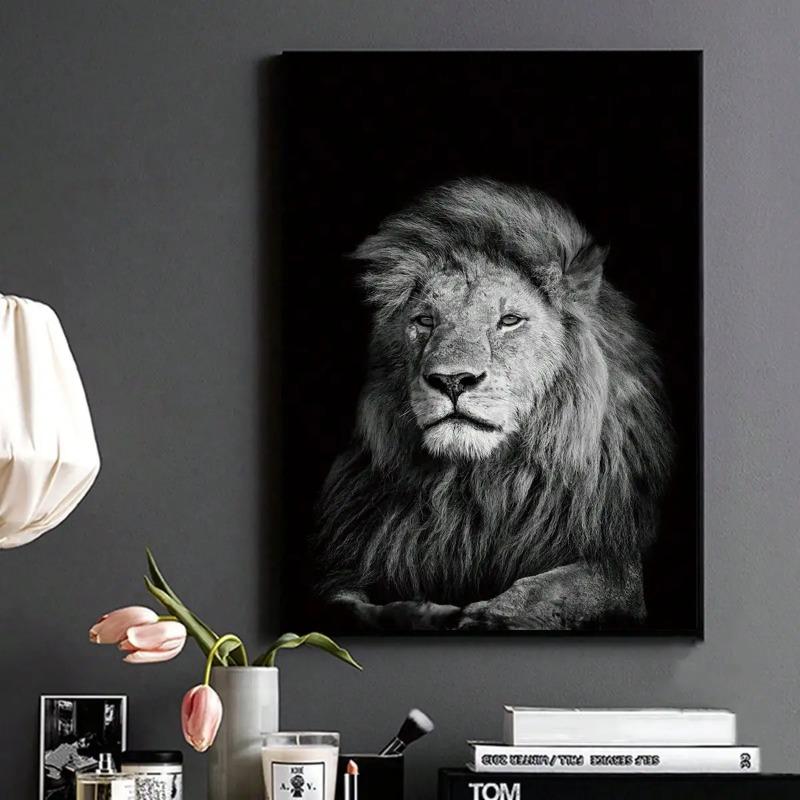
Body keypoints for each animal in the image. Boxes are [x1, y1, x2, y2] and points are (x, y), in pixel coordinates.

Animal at [313, 179, 673, 631]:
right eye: (425, 320)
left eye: (509, 321)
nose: (452, 380)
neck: (476, 486)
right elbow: (344, 606)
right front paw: (420, 614)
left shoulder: (617, 565)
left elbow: (551, 588)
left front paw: (488, 617)